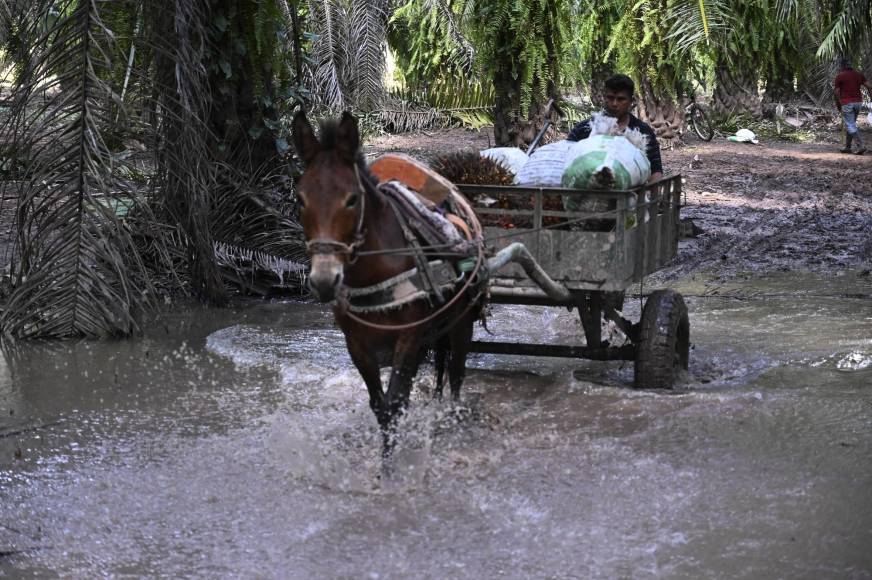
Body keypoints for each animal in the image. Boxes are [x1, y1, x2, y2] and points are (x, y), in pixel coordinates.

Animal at [292, 110, 484, 454]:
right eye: (300, 199)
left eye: (352, 199)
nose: (325, 281)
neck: (374, 269)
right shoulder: (357, 343)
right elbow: (381, 405)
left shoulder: (408, 335)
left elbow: (395, 401)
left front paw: (390, 463)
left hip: (462, 322)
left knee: (456, 375)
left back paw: (452, 420)